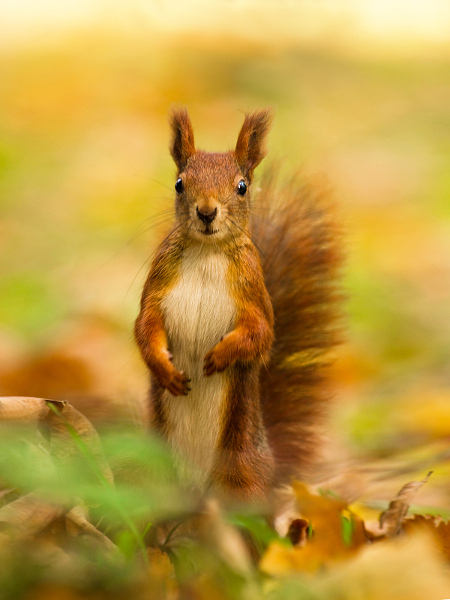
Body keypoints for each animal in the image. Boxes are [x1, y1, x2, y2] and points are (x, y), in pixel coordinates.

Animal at [134, 110, 342, 504]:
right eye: (179, 184)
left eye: (242, 186)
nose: (206, 212)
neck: (207, 251)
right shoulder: (157, 286)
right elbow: (145, 327)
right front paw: (165, 371)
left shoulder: (253, 293)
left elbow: (260, 334)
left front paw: (221, 356)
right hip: (153, 473)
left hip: (241, 469)